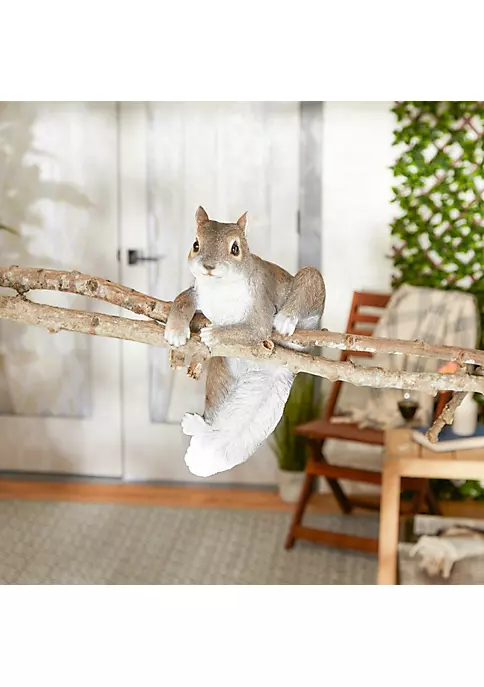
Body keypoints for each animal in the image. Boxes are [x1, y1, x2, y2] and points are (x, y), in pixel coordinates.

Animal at [165, 206, 326, 478]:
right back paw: (198, 426)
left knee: (306, 290)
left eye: (235, 249)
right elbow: (181, 301)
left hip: (310, 297)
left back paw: (286, 321)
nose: (208, 266)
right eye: (196, 244)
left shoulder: (260, 300)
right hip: (221, 374)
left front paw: (215, 334)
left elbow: (255, 330)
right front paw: (175, 330)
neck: (220, 287)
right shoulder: (197, 292)